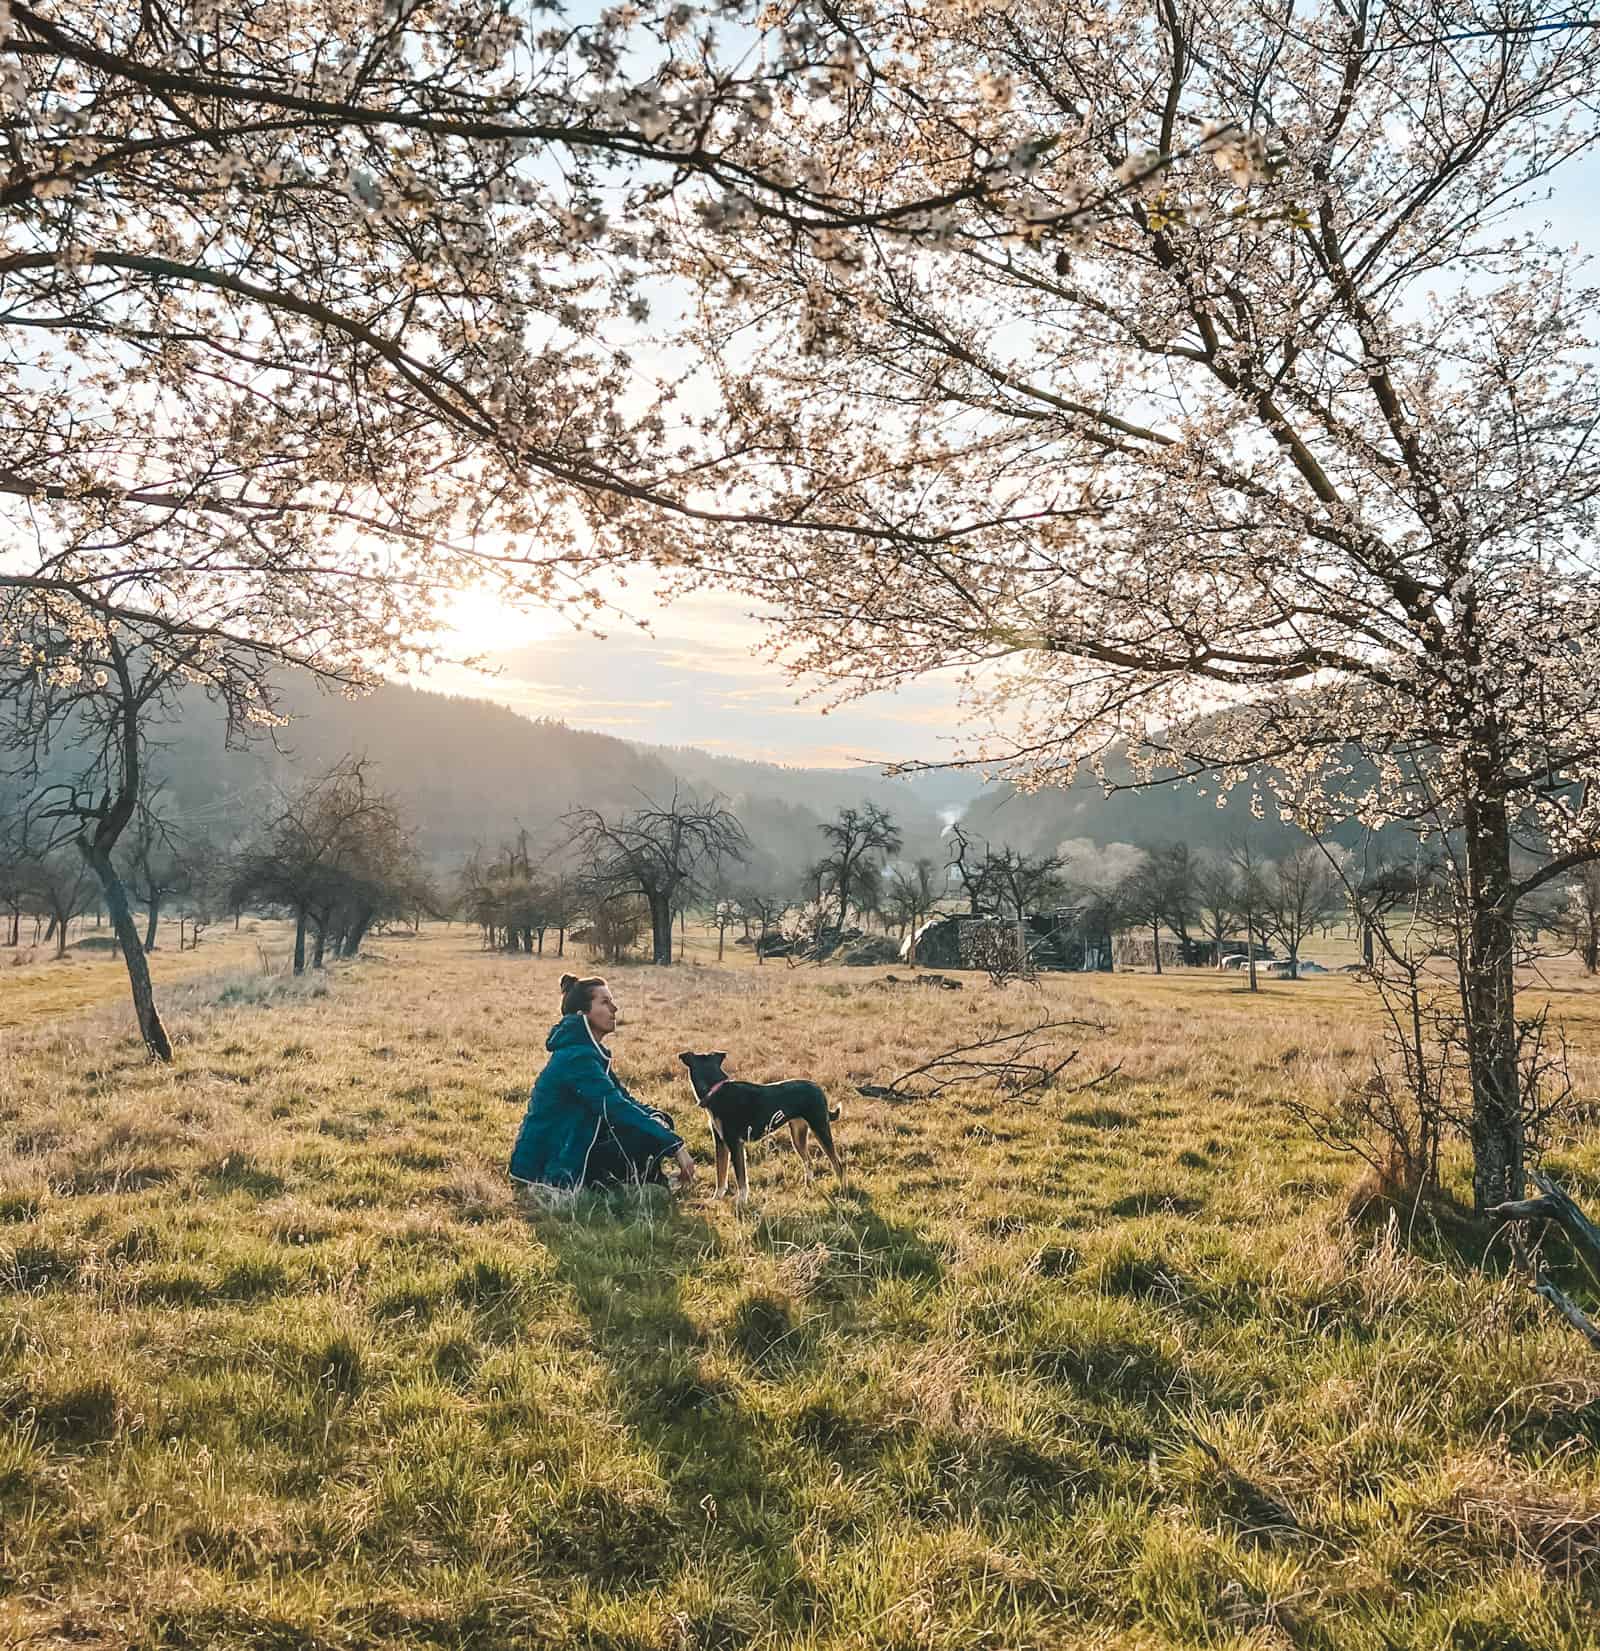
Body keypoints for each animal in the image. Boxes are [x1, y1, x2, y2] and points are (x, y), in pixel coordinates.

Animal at [676, 1050, 852, 1208]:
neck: (716, 1090)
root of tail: (818, 1088)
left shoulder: (735, 1143)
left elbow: (741, 1178)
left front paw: (741, 1202)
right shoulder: (720, 1142)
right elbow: (721, 1173)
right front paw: (716, 1198)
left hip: (820, 1128)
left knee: (837, 1164)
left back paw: (842, 1190)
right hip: (797, 1135)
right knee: (808, 1161)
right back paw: (807, 1187)